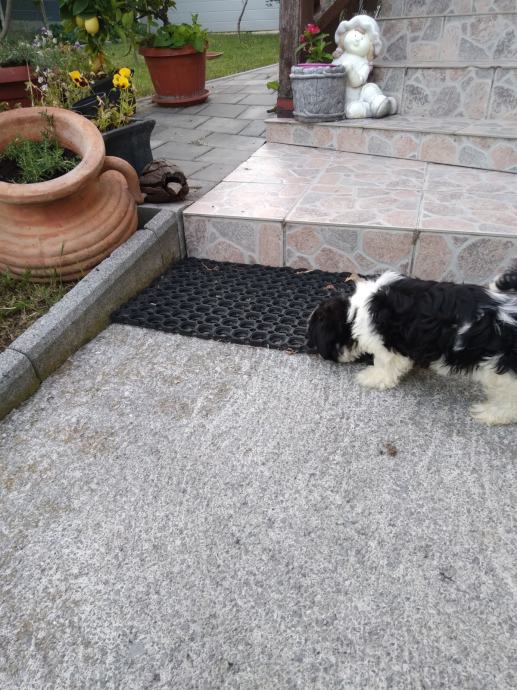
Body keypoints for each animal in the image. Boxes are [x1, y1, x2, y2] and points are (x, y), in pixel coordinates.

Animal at [307, 269, 517, 425]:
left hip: (503, 372)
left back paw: (491, 413)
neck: (356, 312)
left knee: (508, 399)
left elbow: (384, 365)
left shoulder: (386, 345)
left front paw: (372, 377)